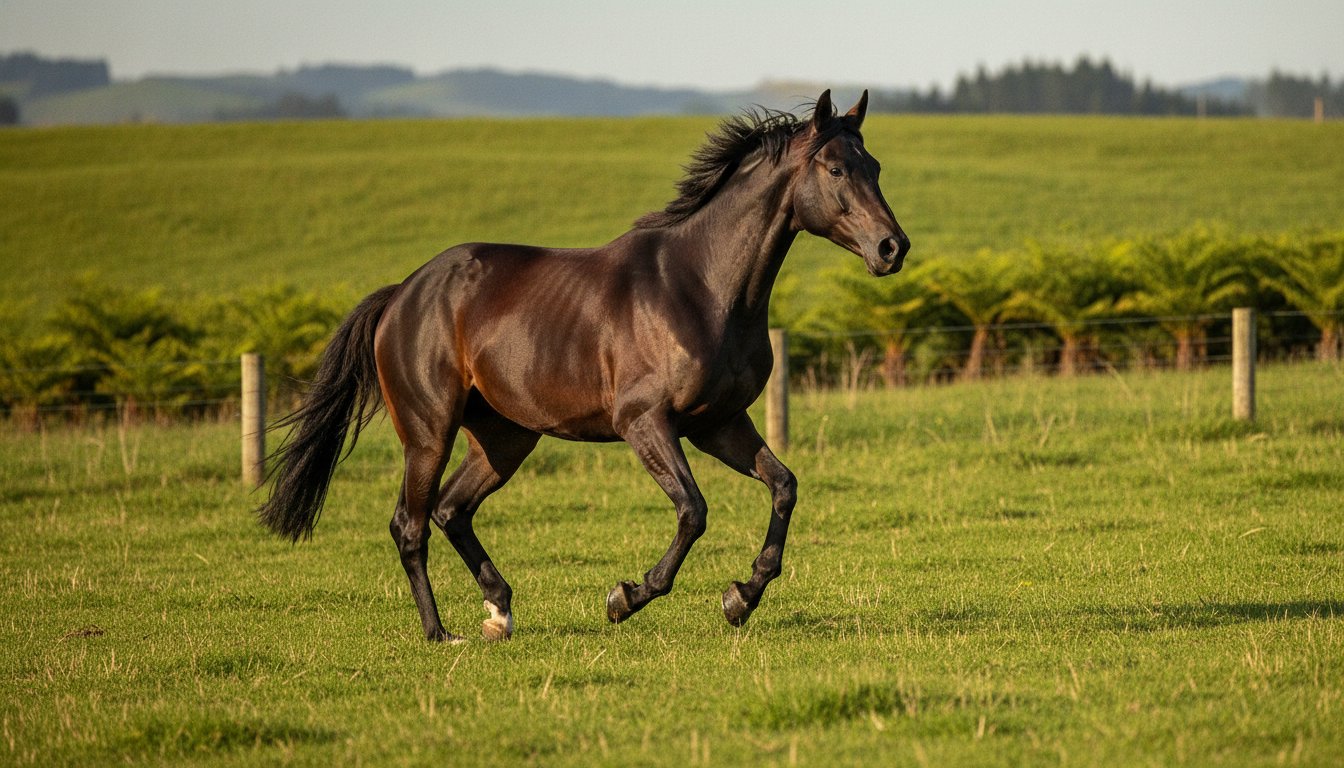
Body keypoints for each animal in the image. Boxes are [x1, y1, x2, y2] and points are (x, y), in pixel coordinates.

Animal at [257, 89, 910, 642]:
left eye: (875, 166)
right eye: (835, 170)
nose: (892, 248)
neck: (702, 287)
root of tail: (401, 295)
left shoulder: (720, 424)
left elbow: (783, 487)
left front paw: (741, 597)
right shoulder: (645, 423)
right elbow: (693, 511)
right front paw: (627, 597)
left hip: (505, 438)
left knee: (451, 510)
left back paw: (499, 612)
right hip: (428, 433)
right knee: (410, 524)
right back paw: (441, 633)